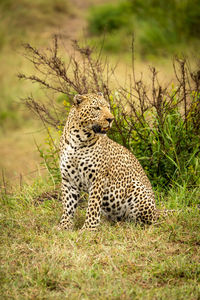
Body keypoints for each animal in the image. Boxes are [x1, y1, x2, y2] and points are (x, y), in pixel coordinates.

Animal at [58, 92, 160, 231]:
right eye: (96, 108)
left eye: (108, 107)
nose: (111, 119)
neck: (77, 140)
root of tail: (157, 210)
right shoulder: (68, 179)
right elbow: (68, 205)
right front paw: (64, 226)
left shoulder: (98, 178)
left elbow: (93, 205)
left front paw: (89, 228)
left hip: (136, 190)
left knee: (147, 221)